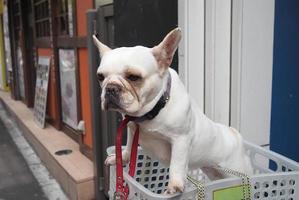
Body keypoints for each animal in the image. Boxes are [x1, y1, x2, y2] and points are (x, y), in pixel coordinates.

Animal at [93, 27, 253, 194]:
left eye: (133, 77)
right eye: (100, 77)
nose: (110, 88)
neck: (151, 112)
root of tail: (235, 135)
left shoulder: (180, 140)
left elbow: (176, 163)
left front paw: (175, 185)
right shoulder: (131, 128)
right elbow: (129, 146)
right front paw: (122, 157)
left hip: (238, 169)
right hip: (215, 172)